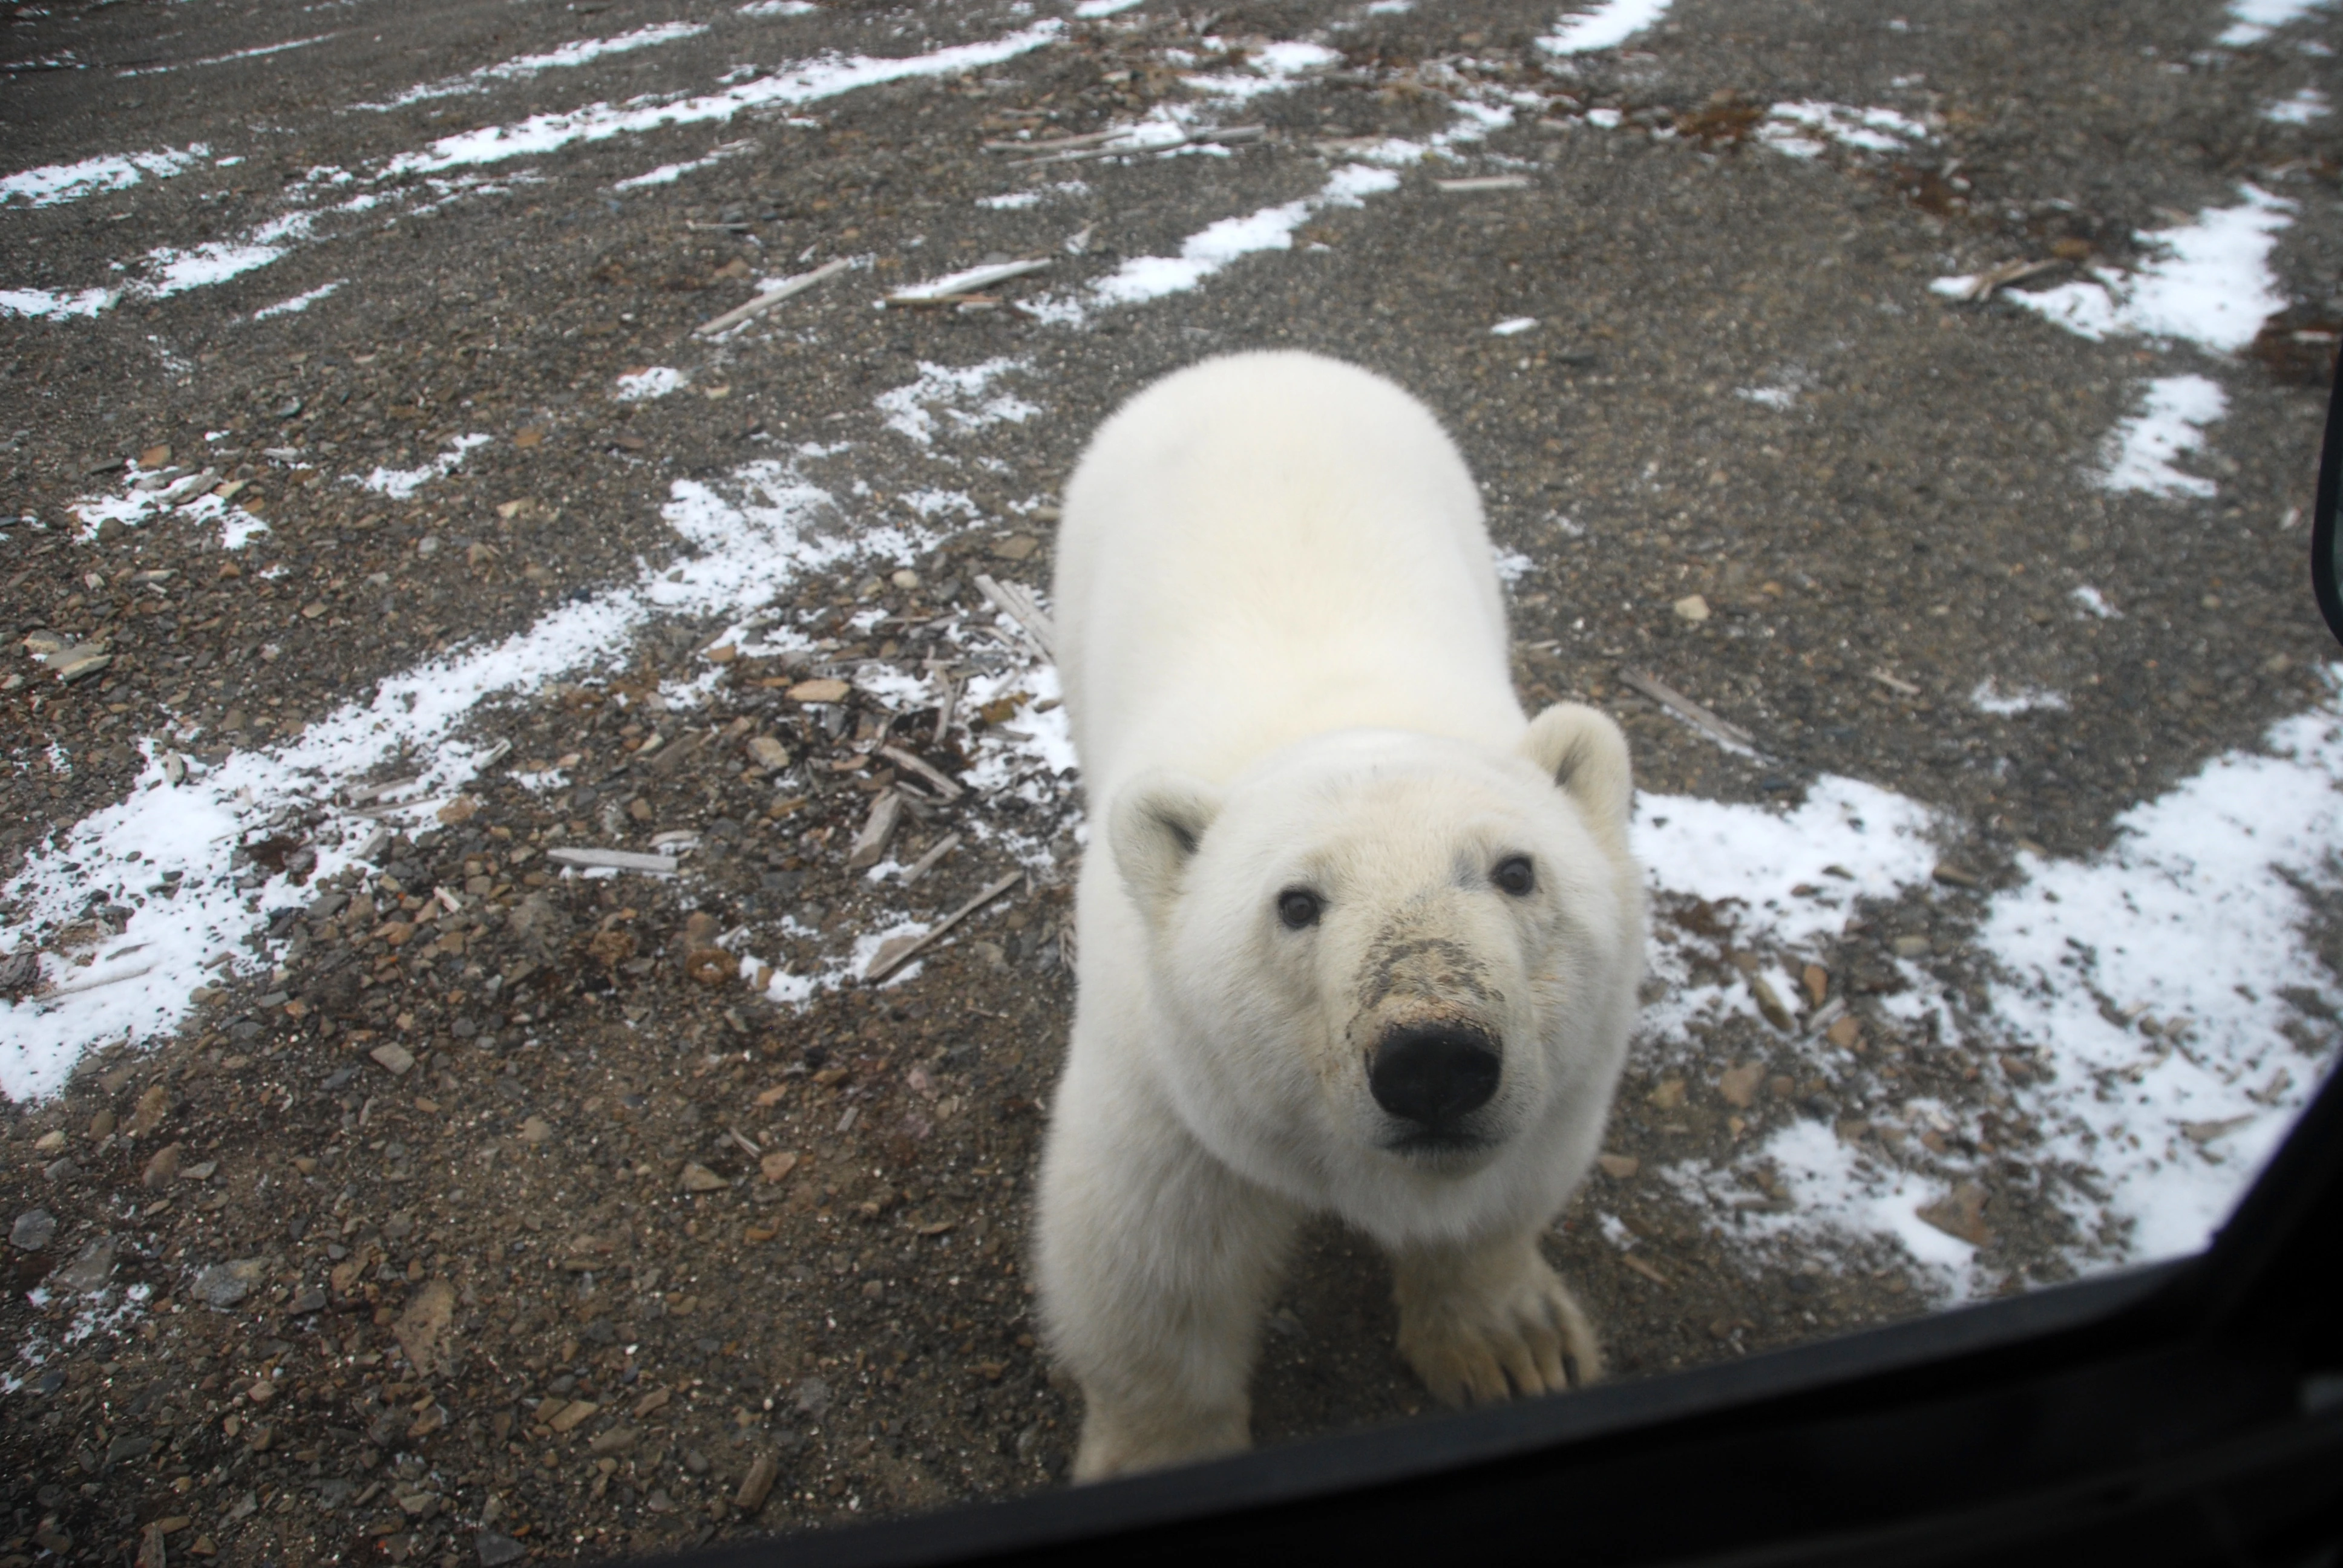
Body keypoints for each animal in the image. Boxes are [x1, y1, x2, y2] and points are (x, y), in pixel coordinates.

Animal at [1026, 351, 1649, 1481]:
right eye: (1295, 903)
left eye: (1516, 871)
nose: (1435, 1060)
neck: (1347, 717)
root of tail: (1255, 361)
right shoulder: (1169, 1080)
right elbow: (1148, 1264)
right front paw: (1157, 1456)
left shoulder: (1563, 1070)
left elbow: (1502, 1196)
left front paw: (1514, 1346)